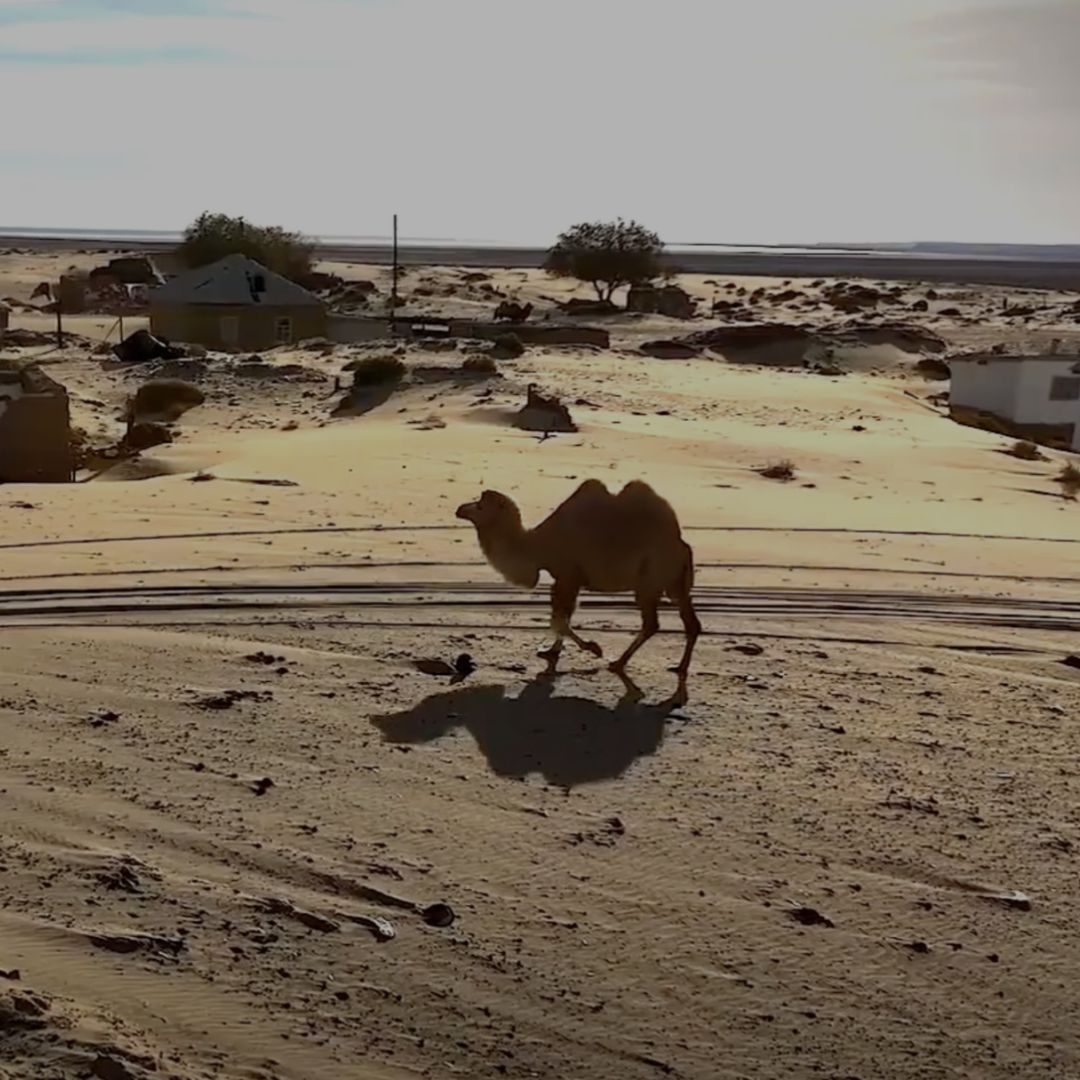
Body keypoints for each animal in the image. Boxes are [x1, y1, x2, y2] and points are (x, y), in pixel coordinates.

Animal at [456, 480, 701, 697]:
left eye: (480, 505)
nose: (459, 509)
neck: (536, 545)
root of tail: (682, 546)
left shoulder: (567, 575)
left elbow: (560, 620)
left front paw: (593, 647)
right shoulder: (566, 579)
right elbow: (563, 616)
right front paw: (551, 652)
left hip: (650, 578)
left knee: (651, 623)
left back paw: (618, 663)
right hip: (674, 583)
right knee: (690, 622)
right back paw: (679, 667)